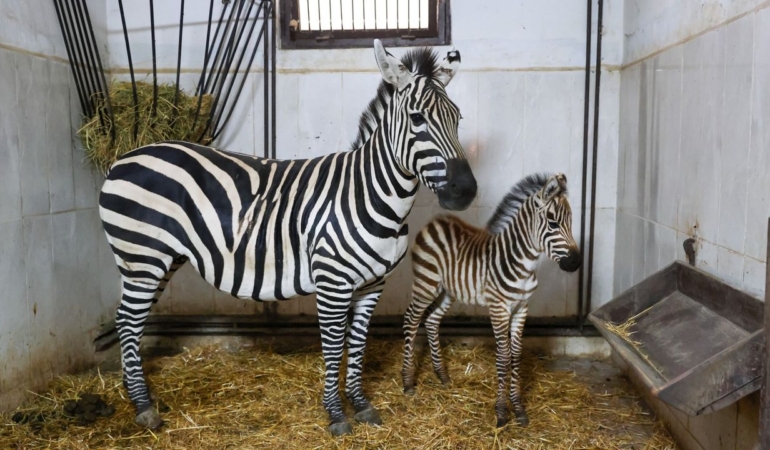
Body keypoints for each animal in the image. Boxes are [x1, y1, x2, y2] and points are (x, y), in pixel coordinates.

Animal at [98, 40, 477, 436]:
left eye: (458, 118)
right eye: (418, 119)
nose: (465, 191)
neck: (371, 193)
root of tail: (125, 156)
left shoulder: (373, 284)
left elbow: (358, 343)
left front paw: (361, 404)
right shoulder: (332, 282)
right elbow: (334, 346)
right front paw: (336, 414)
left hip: (159, 260)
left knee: (129, 320)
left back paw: (135, 392)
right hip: (142, 257)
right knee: (128, 321)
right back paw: (143, 407)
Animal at [401, 173, 580, 428]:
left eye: (571, 222)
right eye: (553, 223)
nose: (575, 263)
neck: (522, 263)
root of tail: (435, 221)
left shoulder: (522, 308)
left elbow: (516, 355)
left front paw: (519, 409)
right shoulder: (499, 308)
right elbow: (503, 357)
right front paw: (502, 412)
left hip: (448, 291)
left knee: (432, 320)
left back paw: (442, 376)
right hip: (426, 284)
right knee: (411, 320)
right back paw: (407, 382)